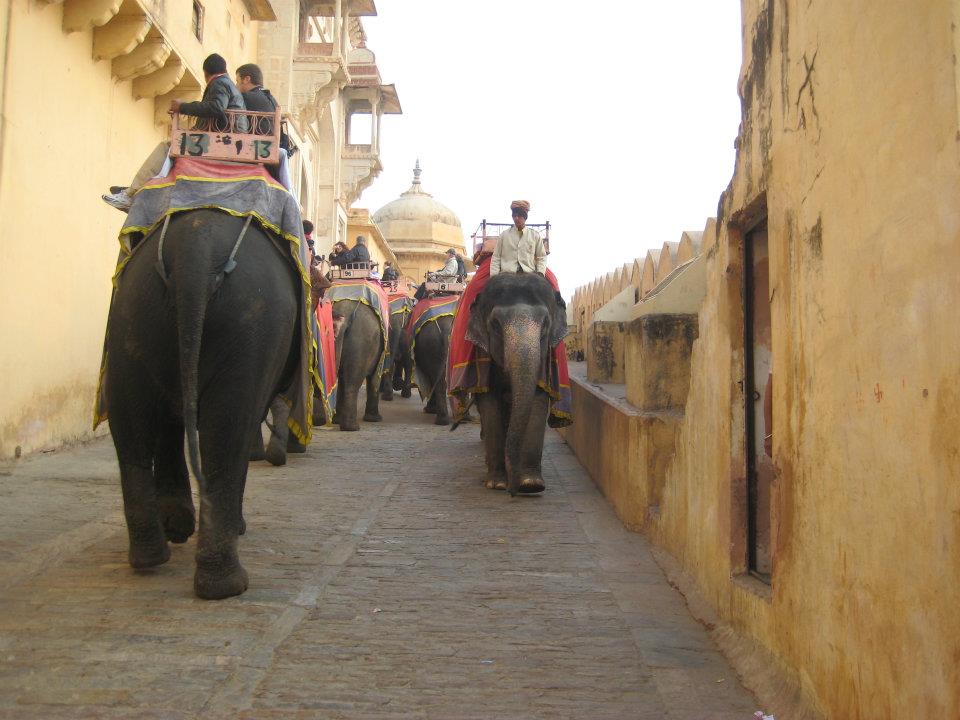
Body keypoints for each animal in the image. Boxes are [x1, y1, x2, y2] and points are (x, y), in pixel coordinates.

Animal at [466, 270, 568, 496]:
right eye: (495, 325)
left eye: (545, 324)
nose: (512, 492)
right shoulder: (484, 358)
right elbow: (489, 403)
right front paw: (497, 484)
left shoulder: (543, 360)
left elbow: (538, 399)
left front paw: (531, 485)